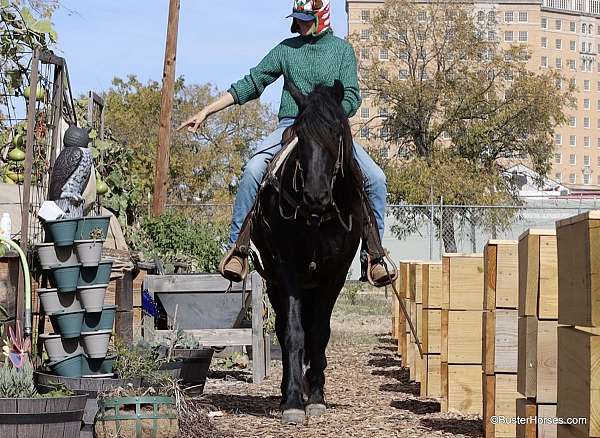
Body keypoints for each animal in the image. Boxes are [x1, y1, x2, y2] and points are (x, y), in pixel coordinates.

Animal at [252, 80, 364, 422]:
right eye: (300, 134)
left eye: (337, 132)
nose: (316, 195)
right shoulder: (287, 271)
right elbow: (294, 332)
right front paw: (292, 401)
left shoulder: (334, 275)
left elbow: (318, 333)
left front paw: (315, 397)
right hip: (275, 281)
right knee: (282, 329)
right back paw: (288, 390)